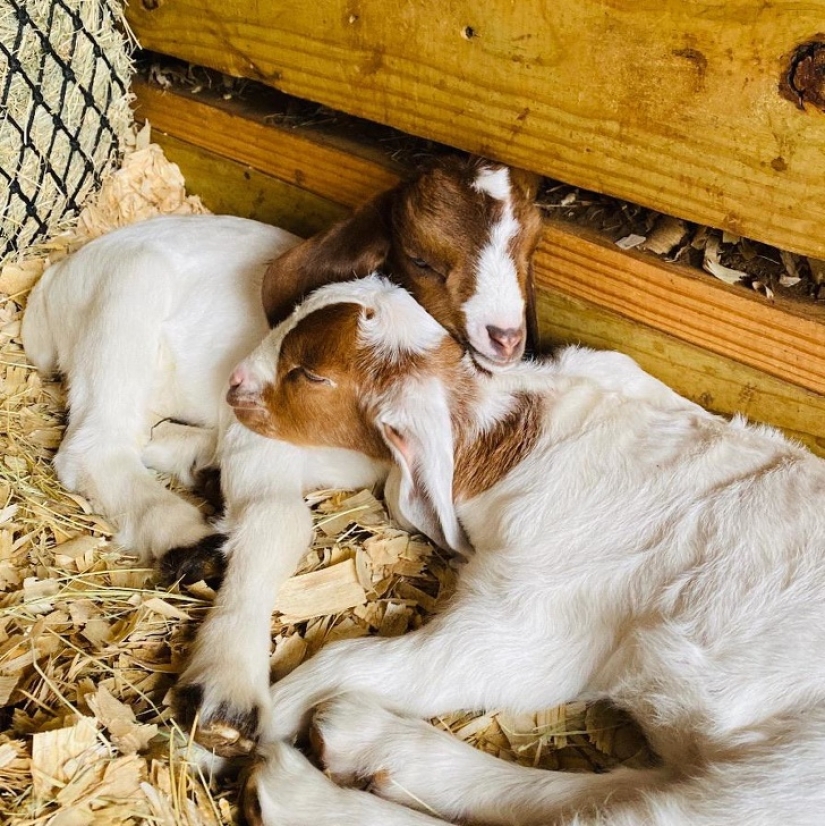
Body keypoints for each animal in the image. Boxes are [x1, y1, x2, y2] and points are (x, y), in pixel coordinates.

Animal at [226, 275, 825, 826]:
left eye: (310, 374)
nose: (233, 384)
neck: (521, 442)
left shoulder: (529, 619)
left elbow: (363, 659)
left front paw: (269, 713)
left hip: (783, 780)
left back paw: (299, 786)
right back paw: (367, 743)